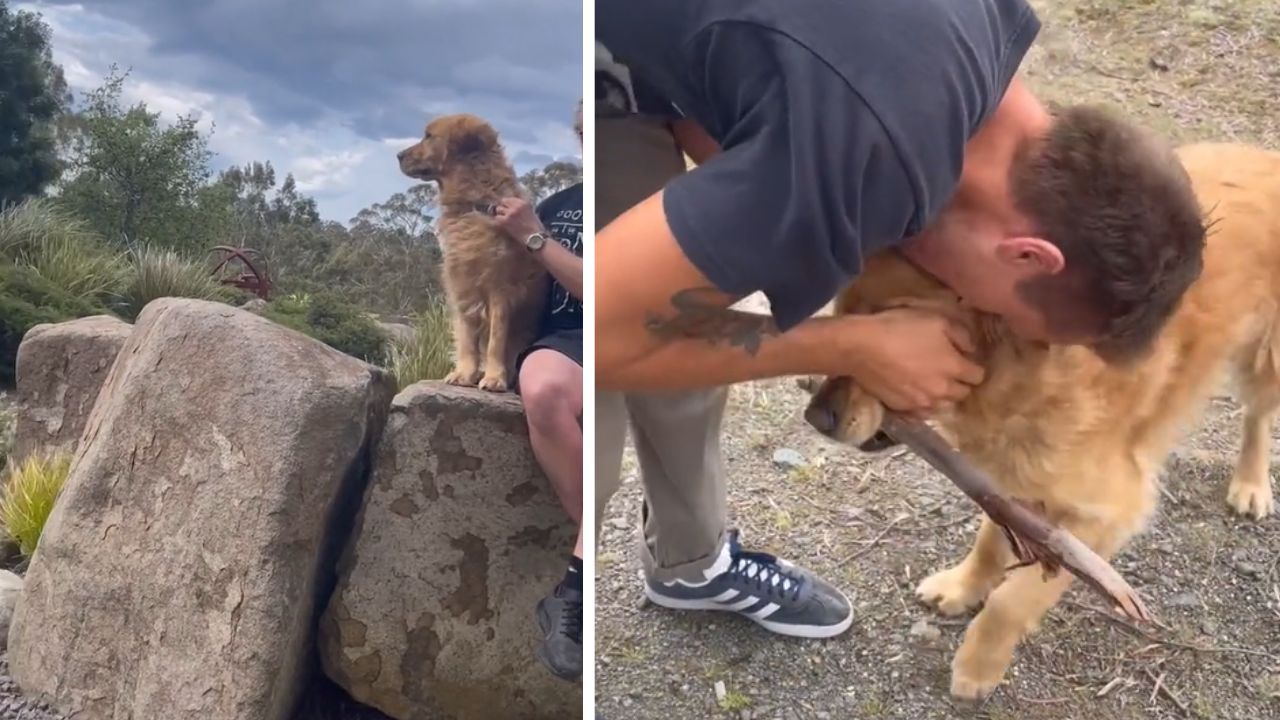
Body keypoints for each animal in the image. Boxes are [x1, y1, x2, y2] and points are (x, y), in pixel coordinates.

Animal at [394, 114, 545, 389]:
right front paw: (465, 373)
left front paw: (494, 377)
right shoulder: (460, 286)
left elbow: (496, 340)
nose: (398, 155)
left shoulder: (500, 290)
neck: (472, 203)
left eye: (429, 136)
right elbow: (466, 339)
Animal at [808, 142, 1280, 696]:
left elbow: (1013, 599)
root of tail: (1263, 155)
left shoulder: (1109, 514)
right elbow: (991, 543)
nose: (815, 415)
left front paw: (978, 664)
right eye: (843, 319)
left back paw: (1251, 484)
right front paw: (964, 586)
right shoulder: (1010, 479)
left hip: (1268, 354)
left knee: (1258, 415)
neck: (1023, 372)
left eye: (888, 334)